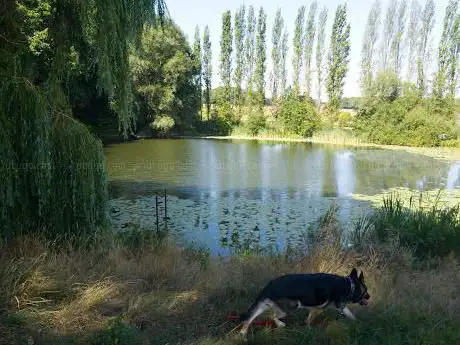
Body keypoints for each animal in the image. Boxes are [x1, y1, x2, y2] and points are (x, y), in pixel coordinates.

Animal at [239, 268, 368, 338]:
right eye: (366, 291)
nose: (369, 297)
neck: (349, 286)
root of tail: (270, 285)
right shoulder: (318, 309)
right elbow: (309, 321)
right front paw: (309, 329)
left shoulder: (336, 308)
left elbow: (351, 315)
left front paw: (358, 323)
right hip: (292, 306)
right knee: (273, 316)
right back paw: (280, 325)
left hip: (264, 305)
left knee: (248, 320)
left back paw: (243, 335)